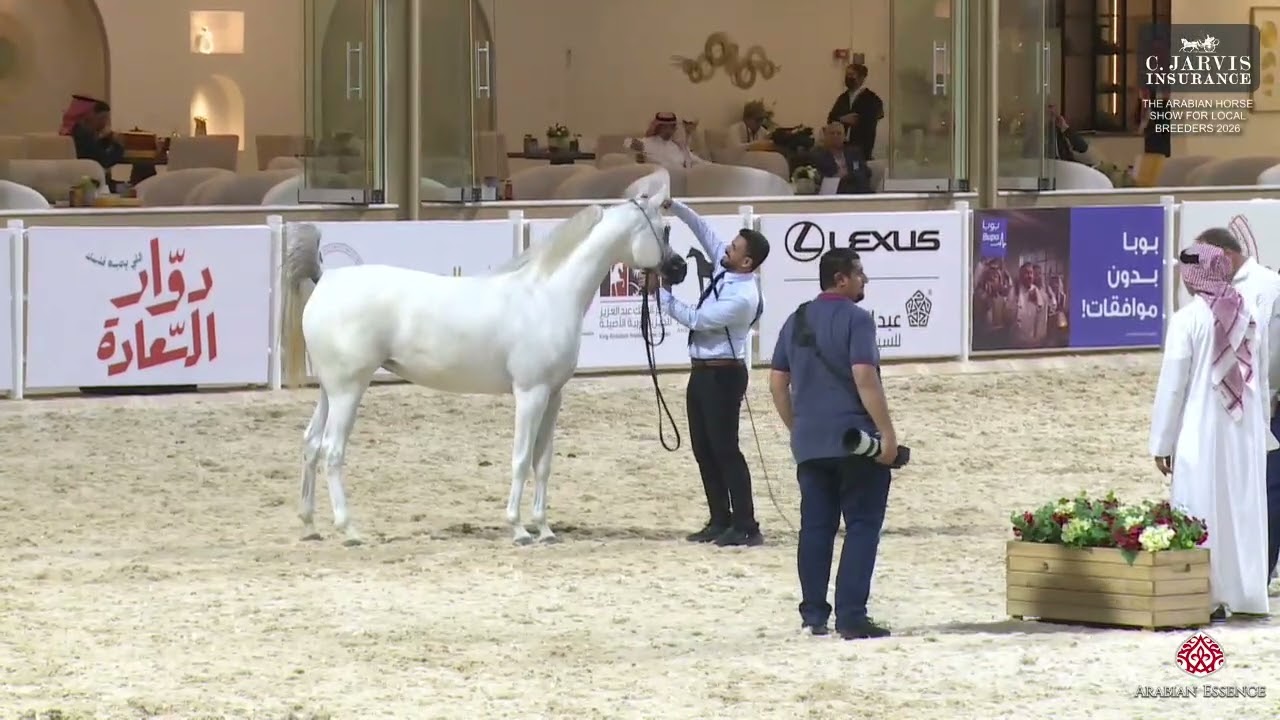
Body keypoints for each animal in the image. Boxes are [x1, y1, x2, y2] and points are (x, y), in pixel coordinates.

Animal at [279, 169, 676, 546]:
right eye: (664, 229)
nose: (679, 269)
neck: (546, 294)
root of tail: (326, 279)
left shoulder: (553, 396)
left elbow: (542, 462)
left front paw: (545, 529)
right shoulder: (530, 394)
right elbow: (520, 459)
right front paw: (519, 529)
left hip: (330, 391)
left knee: (311, 445)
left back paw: (310, 525)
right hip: (348, 390)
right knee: (332, 451)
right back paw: (349, 530)